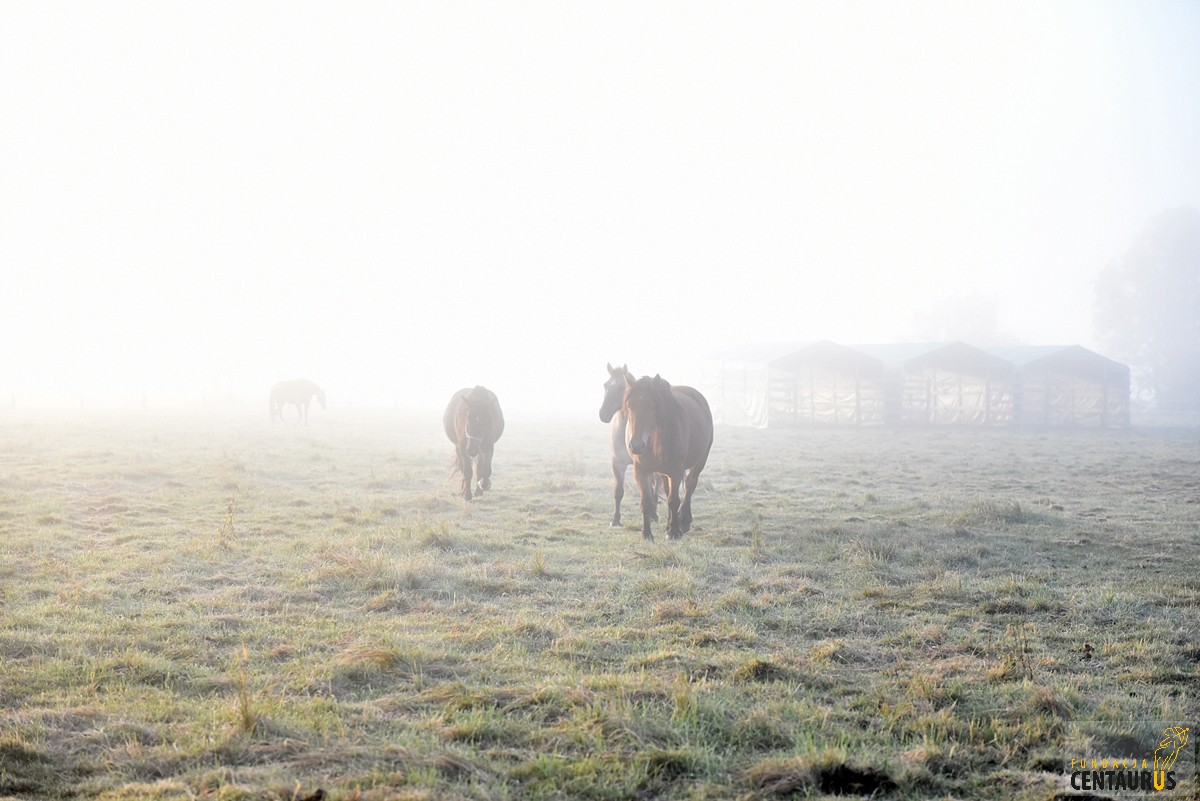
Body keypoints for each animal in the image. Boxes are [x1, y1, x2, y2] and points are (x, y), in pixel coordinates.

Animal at [619, 376, 710, 541]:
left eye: (652, 407)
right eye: (629, 406)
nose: (635, 446)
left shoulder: (676, 471)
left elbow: (674, 501)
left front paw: (674, 533)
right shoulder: (641, 470)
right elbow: (647, 501)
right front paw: (647, 534)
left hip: (699, 462)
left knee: (690, 486)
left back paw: (683, 522)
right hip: (663, 472)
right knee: (669, 492)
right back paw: (669, 525)